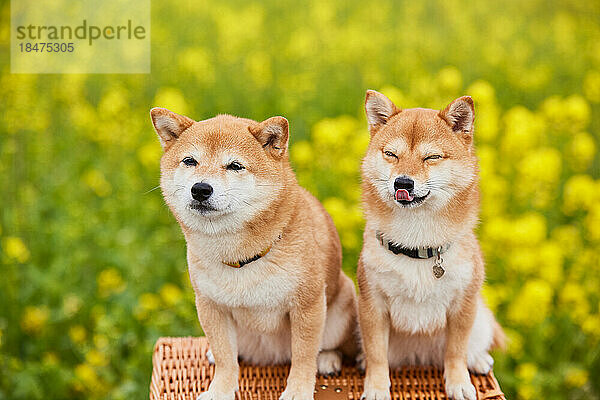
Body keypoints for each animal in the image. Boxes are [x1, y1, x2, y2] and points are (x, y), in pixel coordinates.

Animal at [150, 108, 358, 400]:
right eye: (190, 161)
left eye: (235, 166)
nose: (200, 188)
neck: (242, 256)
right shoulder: (211, 306)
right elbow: (226, 359)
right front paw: (219, 390)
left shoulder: (307, 305)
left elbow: (304, 356)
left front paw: (298, 391)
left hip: (342, 303)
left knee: (329, 345)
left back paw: (327, 358)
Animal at [358, 91, 504, 400]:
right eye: (391, 154)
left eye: (432, 157)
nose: (403, 182)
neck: (417, 245)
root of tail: (419, 358)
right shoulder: (372, 305)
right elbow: (377, 354)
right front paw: (376, 387)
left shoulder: (463, 305)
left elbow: (456, 351)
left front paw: (458, 383)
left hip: (480, 316)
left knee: (472, 345)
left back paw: (478, 359)